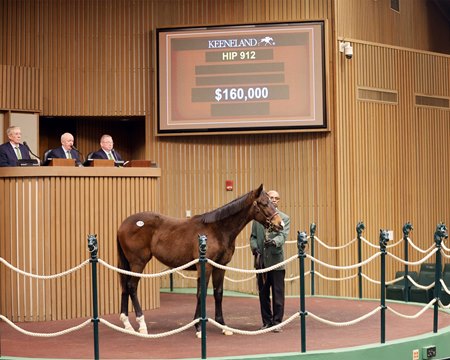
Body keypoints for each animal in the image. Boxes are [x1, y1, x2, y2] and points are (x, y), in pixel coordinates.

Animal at [118, 184, 284, 336]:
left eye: (272, 202)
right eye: (263, 203)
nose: (280, 223)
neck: (217, 230)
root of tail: (123, 225)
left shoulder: (220, 266)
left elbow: (218, 293)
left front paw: (223, 326)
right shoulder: (204, 266)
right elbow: (201, 293)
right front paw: (198, 327)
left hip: (128, 264)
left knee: (125, 287)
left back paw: (127, 325)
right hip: (138, 262)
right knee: (132, 287)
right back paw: (142, 325)